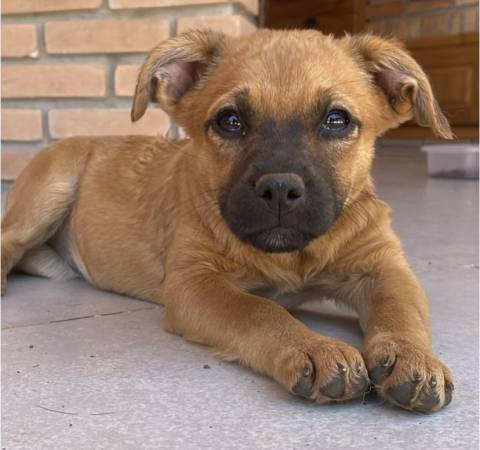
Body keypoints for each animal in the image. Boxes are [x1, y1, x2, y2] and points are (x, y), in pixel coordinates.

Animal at [1, 29, 456, 414]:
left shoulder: (384, 268)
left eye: (337, 119)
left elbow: (399, 311)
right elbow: (259, 309)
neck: (291, 257)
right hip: (53, 184)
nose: (279, 189)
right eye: (230, 121)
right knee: (9, 239)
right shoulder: (194, 282)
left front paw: (411, 357)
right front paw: (312, 347)